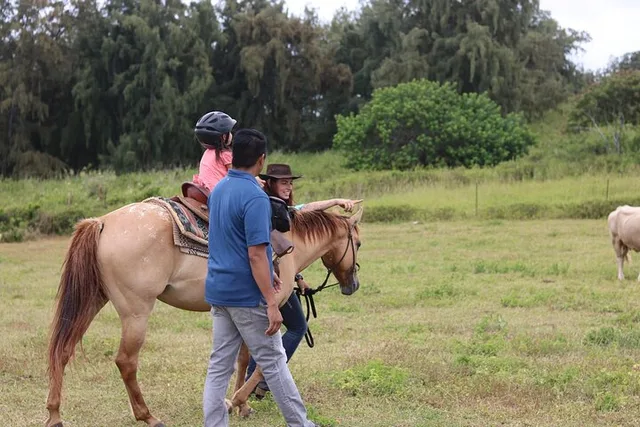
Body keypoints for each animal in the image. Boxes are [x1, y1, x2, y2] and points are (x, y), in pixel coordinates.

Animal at [45, 199, 363, 427]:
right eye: (358, 244)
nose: (354, 285)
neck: (289, 246)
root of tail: (101, 222)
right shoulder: (267, 316)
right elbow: (268, 361)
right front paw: (235, 401)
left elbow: (244, 358)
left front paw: (243, 405)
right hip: (136, 313)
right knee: (125, 361)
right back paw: (148, 416)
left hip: (92, 300)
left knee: (62, 349)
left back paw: (54, 414)